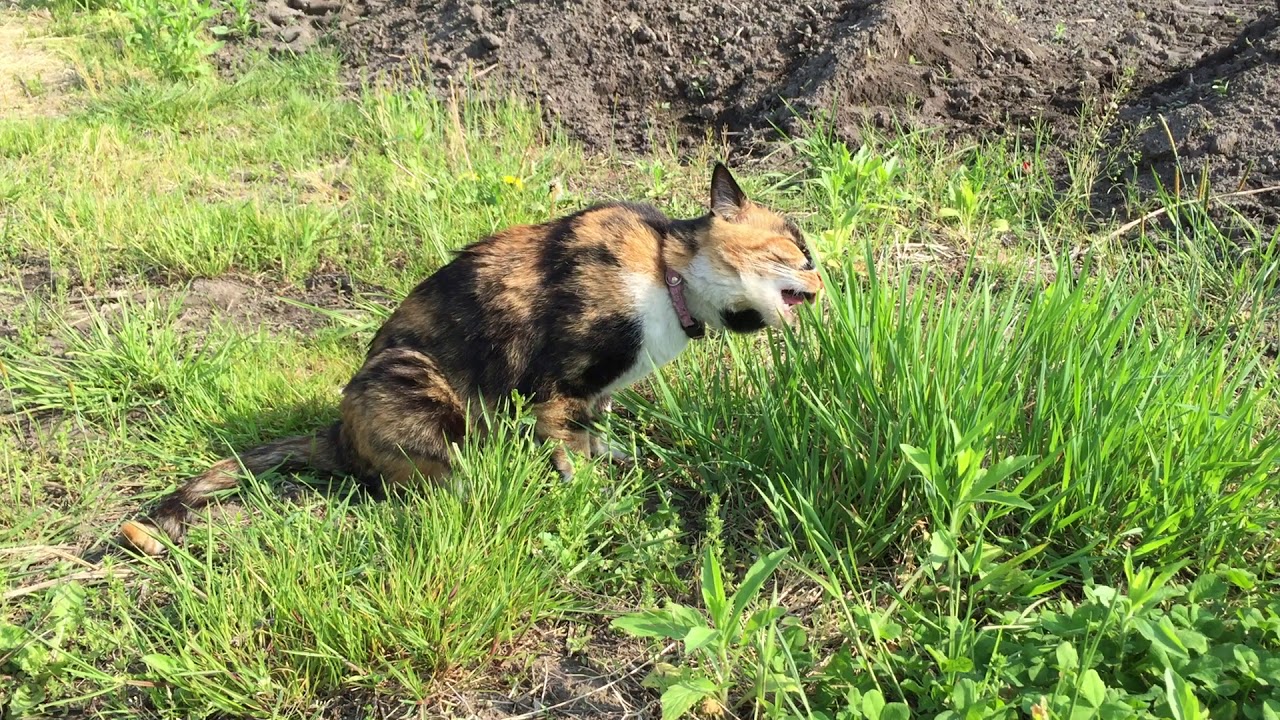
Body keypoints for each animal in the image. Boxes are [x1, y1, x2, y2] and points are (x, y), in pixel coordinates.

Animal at [120, 163, 819, 556]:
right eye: (797, 247)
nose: (825, 274)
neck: (666, 275)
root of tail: (336, 434)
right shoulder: (559, 379)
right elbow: (568, 440)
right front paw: (594, 496)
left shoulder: (597, 390)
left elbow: (596, 427)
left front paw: (617, 456)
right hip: (411, 379)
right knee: (438, 479)